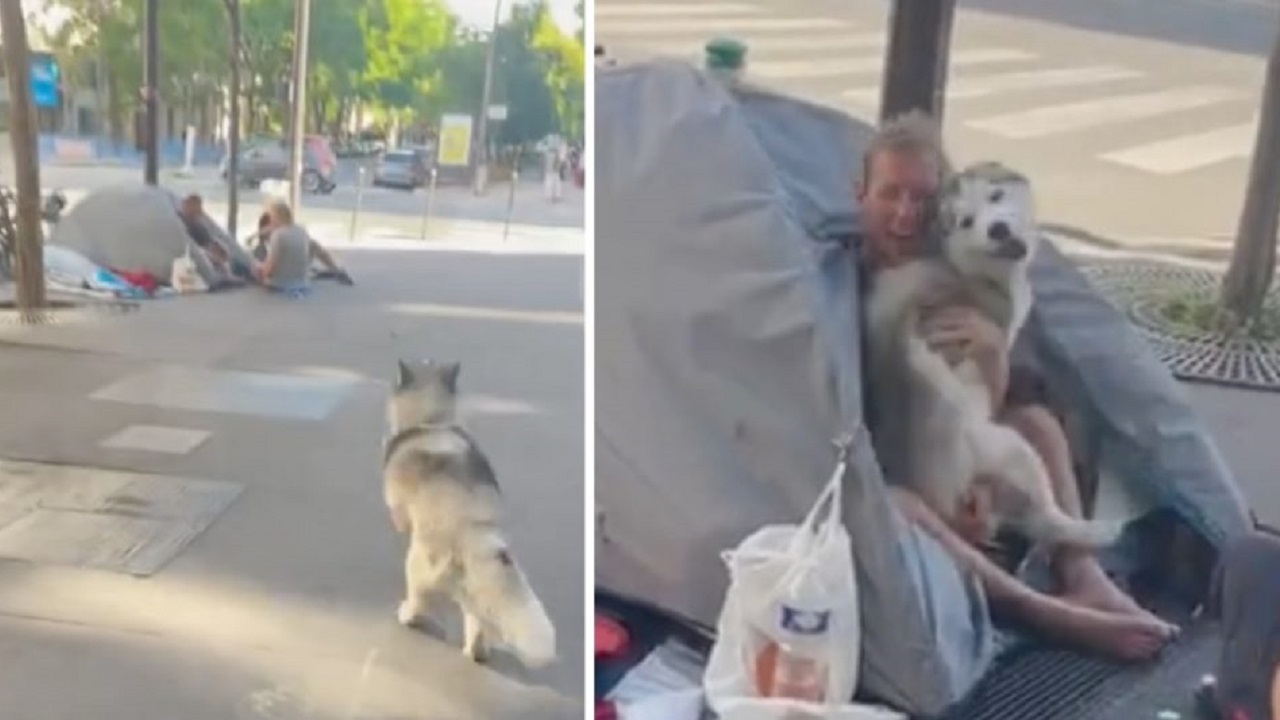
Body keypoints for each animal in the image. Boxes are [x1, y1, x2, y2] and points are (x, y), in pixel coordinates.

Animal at [384, 358, 555, 666]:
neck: (433, 421)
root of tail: (471, 528)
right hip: (478, 588)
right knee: (477, 625)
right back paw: (477, 652)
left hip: (420, 568)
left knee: (418, 602)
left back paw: (407, 615)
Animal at [860, 159, 1121, 545]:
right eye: (967, 221)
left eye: (995, 196)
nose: (996, 229)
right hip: (1009, 449)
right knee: (1046, 515)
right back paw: (1090, 530)